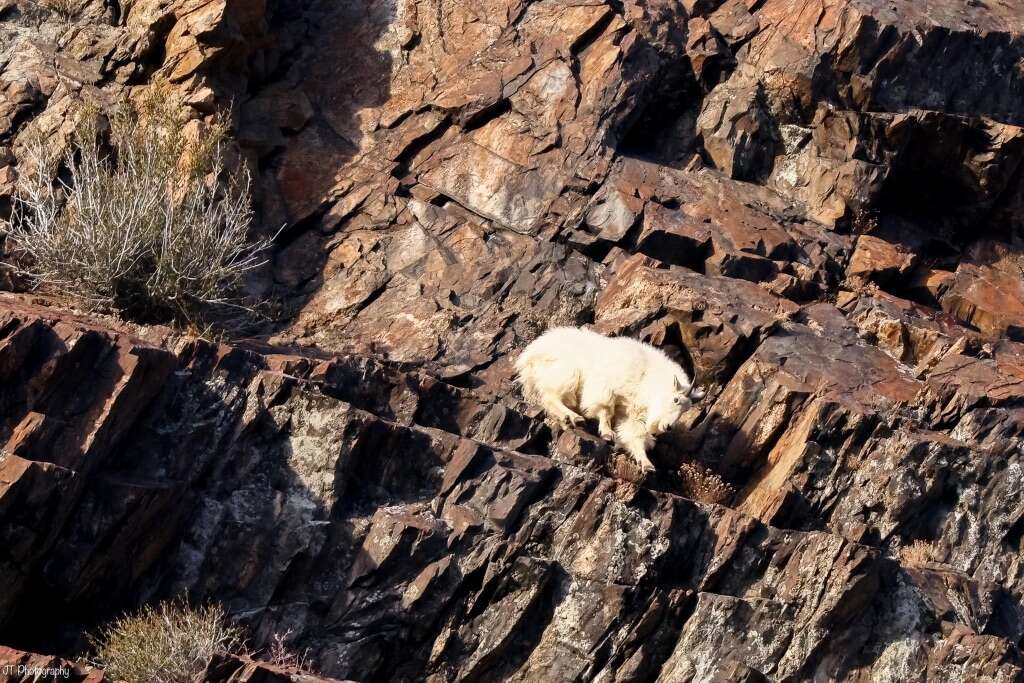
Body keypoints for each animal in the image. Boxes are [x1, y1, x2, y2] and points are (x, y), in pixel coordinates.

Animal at [515, 326, 704, 471]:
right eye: (676, 400)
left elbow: (634, 435)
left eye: (686, 409)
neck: (646, 377)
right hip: (566, 373)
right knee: (550, 397)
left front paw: (646, 464)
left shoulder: (631, 414)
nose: (668, 426)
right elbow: (605, 411)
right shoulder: (607, 388)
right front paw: (607, 433)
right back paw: (574, 418)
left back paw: (567, 421)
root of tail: (532, 352)